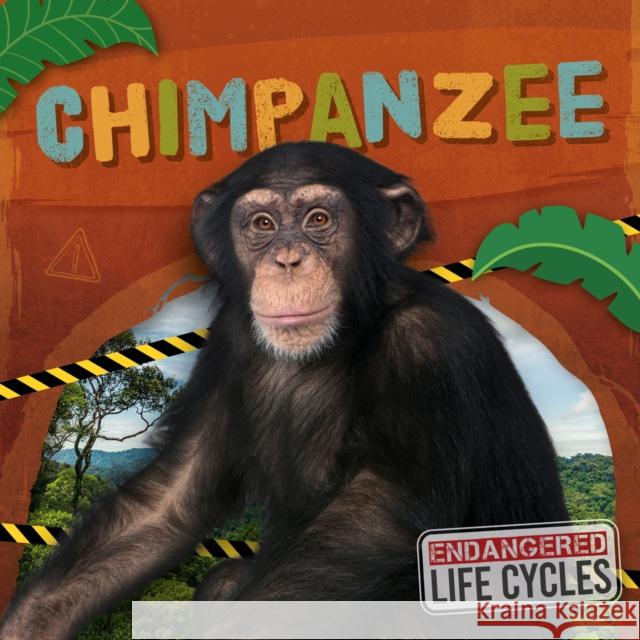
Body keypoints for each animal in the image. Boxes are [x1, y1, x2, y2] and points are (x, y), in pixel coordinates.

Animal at [0, 141, 567, 639]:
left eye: (318, 220)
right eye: (263, 225)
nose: (288, 260)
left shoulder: (428, 345)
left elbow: (377, 521)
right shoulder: (230, 339)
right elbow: (172, 497)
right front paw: (30, 625)